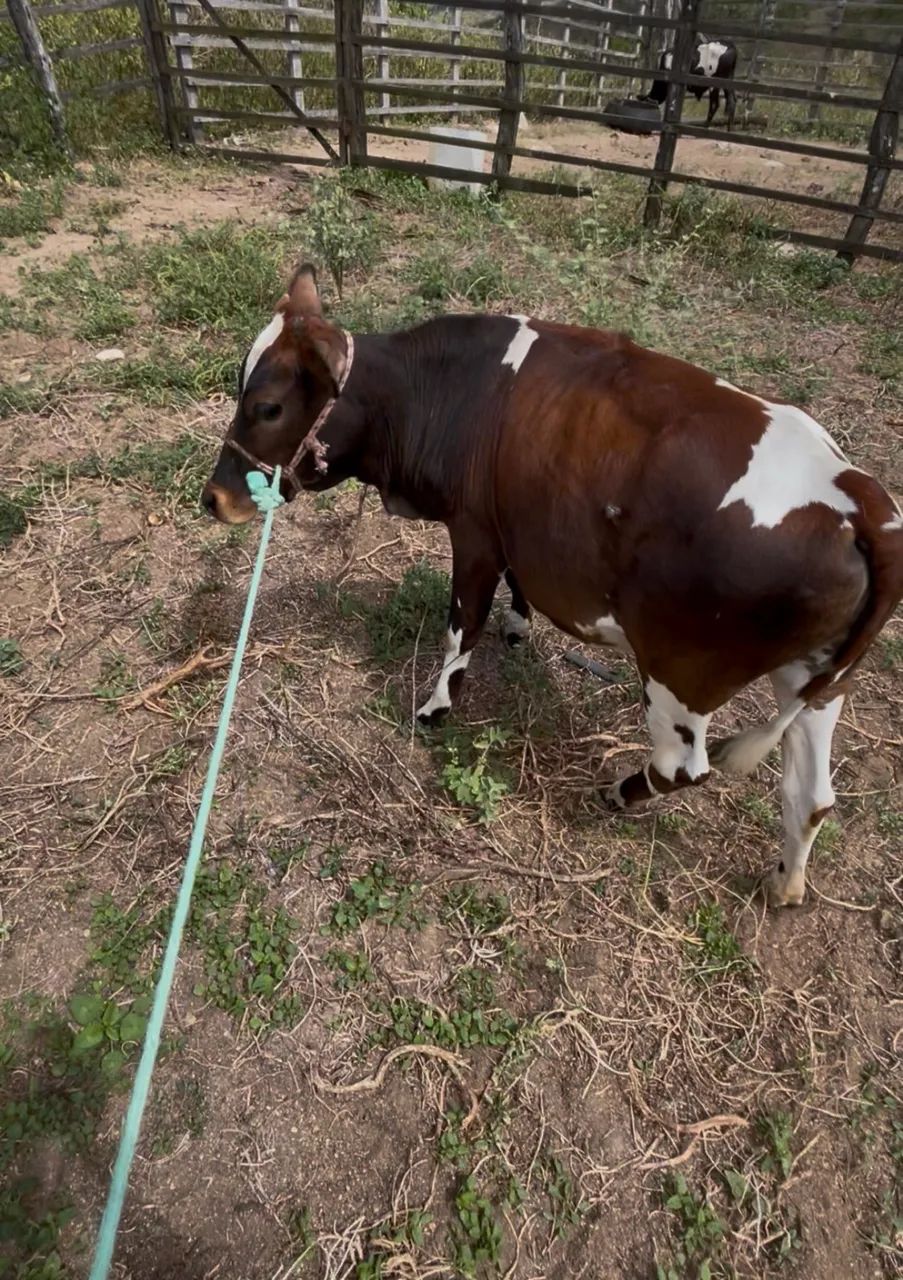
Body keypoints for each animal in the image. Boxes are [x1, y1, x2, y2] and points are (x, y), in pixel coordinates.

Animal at [202, 265, 903, 909]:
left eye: (267, 407)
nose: (213, 499)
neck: (440, 393)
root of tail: (860, 501)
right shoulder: (515, 525)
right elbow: (514, 589)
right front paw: (518, 626)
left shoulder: (475, 531)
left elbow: (462, 624)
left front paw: (437, 706)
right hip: (816, 686)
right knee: (809, 797)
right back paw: (785, 883)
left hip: (680, 672)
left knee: (682, 767)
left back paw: (617, 792)